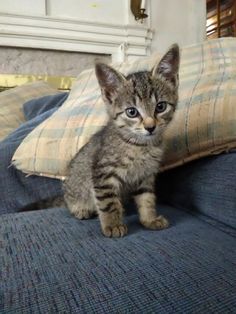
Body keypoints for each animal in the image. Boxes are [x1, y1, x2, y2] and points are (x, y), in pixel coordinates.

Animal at [63, 43, 180, 237]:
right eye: (132, 112)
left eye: (161, 107)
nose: (150, 127)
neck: (141, 146)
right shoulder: (103, 173)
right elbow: (108, 202)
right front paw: (113, 225)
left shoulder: (146, 175)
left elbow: (147, 198)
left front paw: (149, 219)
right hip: (74, 187)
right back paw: (81, 209)